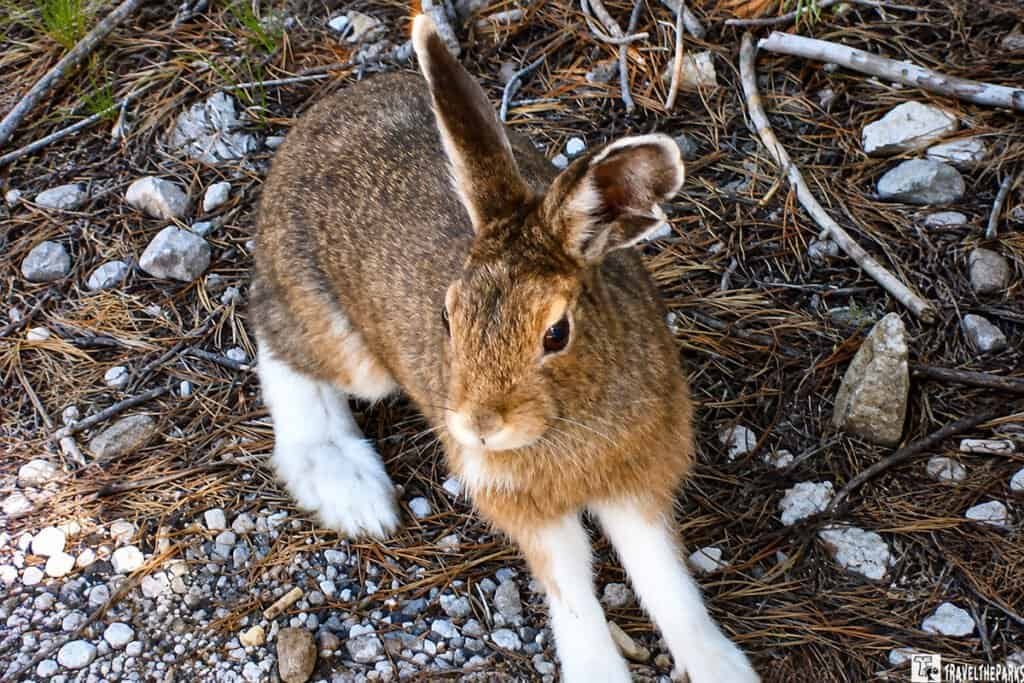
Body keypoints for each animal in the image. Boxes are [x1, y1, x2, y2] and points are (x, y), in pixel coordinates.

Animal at [250, 13, 759, 683]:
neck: (568, 425)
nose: (480, 427)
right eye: (447, 316)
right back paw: (350, 489)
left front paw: (718, 665)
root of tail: (306, 131)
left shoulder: (638, 477)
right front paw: (597, 669)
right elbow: (572, 587)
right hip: (345, 344)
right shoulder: (525, 506)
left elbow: (664, 579)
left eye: (556, 334)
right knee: (278, 343)